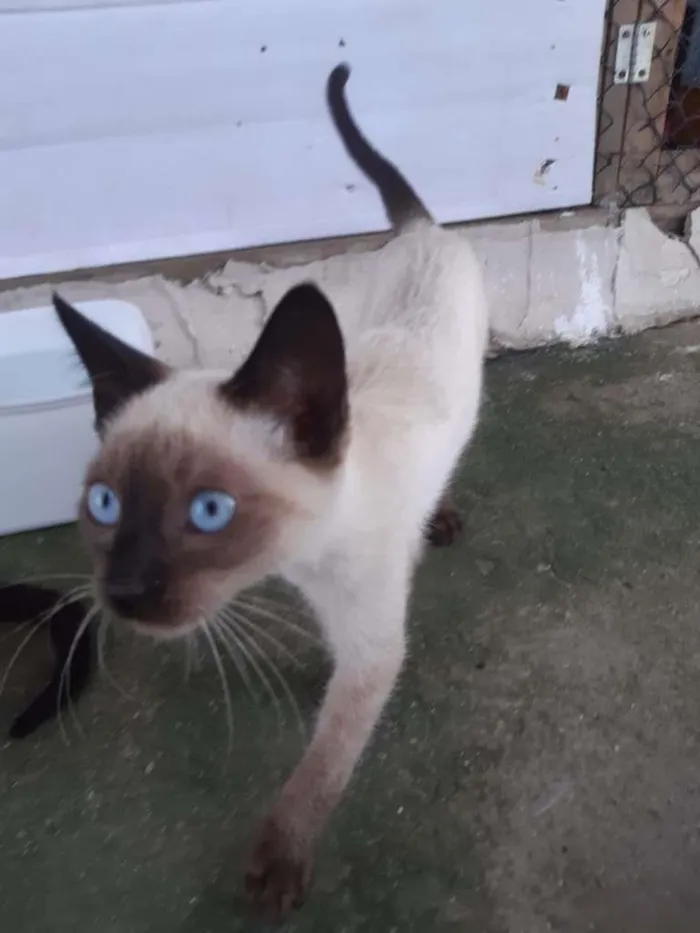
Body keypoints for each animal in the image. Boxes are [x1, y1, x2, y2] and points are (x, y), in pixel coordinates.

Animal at [53, 65, 486, 916]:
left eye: (208, 511)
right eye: (105, 504)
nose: (122, 591)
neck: (303, 560)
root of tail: (423, 230)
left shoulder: (374, 644)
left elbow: (325, 761)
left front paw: (279, 864)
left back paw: (442, 517)